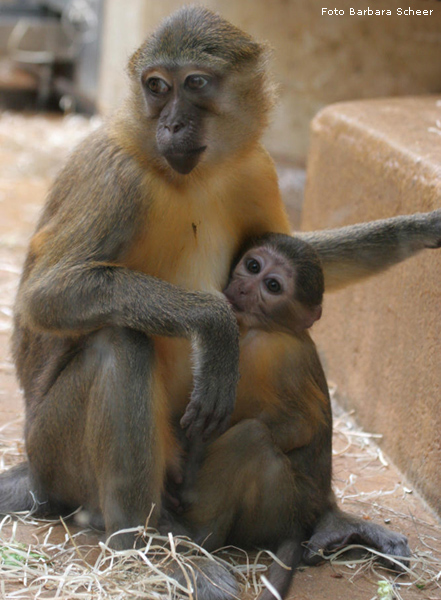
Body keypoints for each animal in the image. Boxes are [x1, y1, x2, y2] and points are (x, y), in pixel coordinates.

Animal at [0, 4, 440, 600]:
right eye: (156, 87)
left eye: (195, 84)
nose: (170, 124)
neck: (190, 176)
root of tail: (37, 474)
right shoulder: (116, 174)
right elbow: (45, 295)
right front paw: (214, 326)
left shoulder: (253, 168)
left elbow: (295, 255)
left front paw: (416, 230)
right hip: (55, 451)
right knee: (119, 341)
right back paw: (141, 543)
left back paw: (327, 518)